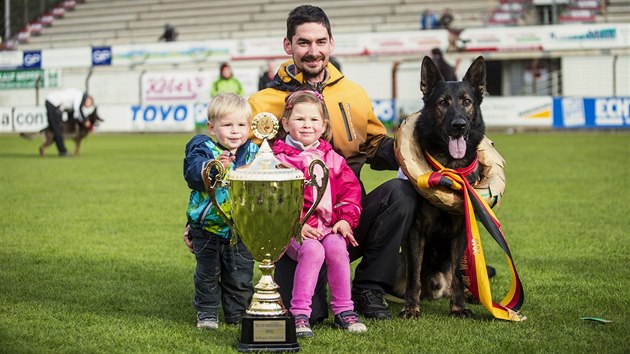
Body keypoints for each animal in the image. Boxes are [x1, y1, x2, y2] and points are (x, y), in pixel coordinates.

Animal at [400, 56, 488, 320]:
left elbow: (458, 277)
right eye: (442, 103)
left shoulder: (461, 232)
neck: (449, 168)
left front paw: (458, 308)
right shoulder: (415, 231)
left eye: (467, 102)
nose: (459, 125)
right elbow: (414, 276)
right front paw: (411, 307)